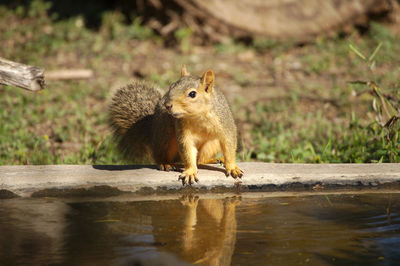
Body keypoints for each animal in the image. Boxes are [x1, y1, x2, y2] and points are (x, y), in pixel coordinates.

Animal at [108, 64, 242, 185]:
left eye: (192, 94)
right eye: (171, 86)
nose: (167, 105)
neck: (198, 116)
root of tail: (152, 131)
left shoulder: (225, 125)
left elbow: (229, 146)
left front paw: (232, 167)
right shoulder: (183, 132)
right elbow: (187, 151)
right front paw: (190, 172)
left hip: (212, 144)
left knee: (200, 159)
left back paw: (215, 159)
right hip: (165, 137)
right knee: (160, 155)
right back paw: (165, 163)